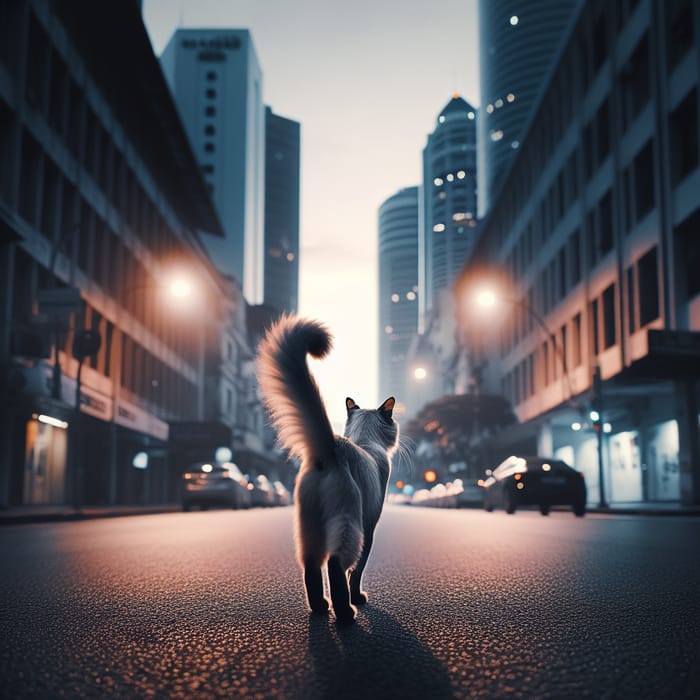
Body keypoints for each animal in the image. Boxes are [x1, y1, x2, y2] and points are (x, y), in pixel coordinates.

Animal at [258, 314, 400, 624]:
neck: (365, 442)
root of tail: (330, 445)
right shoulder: (369, 526)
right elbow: (356, 573)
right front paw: (357, 597)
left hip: (309, 525)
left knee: (310, 566)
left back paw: (321, 607)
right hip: (349, 523)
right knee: (335, 565)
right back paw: (346, 613)